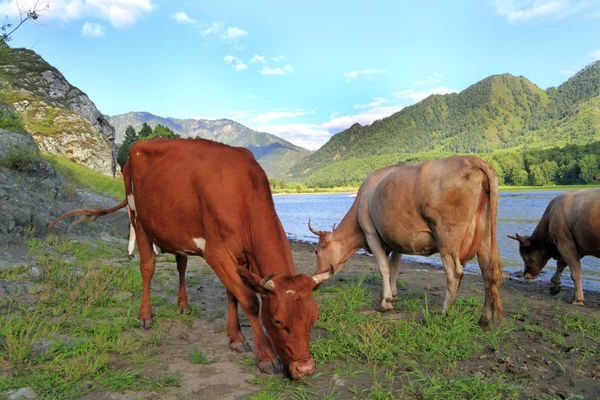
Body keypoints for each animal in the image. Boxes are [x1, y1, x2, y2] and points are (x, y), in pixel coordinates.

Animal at [49, 139, 332, 380]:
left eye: (313, 318)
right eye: (277, 321)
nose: (305, 368)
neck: (241, 191)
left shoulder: (241, 257)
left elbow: (233, 294)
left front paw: (235, 337)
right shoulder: (216, 252)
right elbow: (249, 301)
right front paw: (265, 357)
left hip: (175, 231)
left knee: (181, 264)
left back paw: (182, 304)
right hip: (138, 222)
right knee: (147, 268)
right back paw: (145, 315)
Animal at [308, 155, 504, 326]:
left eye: (316, 251)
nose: (313, 284)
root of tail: (470, 159)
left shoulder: (371, 234)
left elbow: (383, 267)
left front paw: (385, 302)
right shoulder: (398, 241)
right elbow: (394, 267)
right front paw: (394, 295)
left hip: (447, 237)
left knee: (455, 273)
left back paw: (443, 313)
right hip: (485, 237)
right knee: (488, 271)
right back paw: (484, 319)